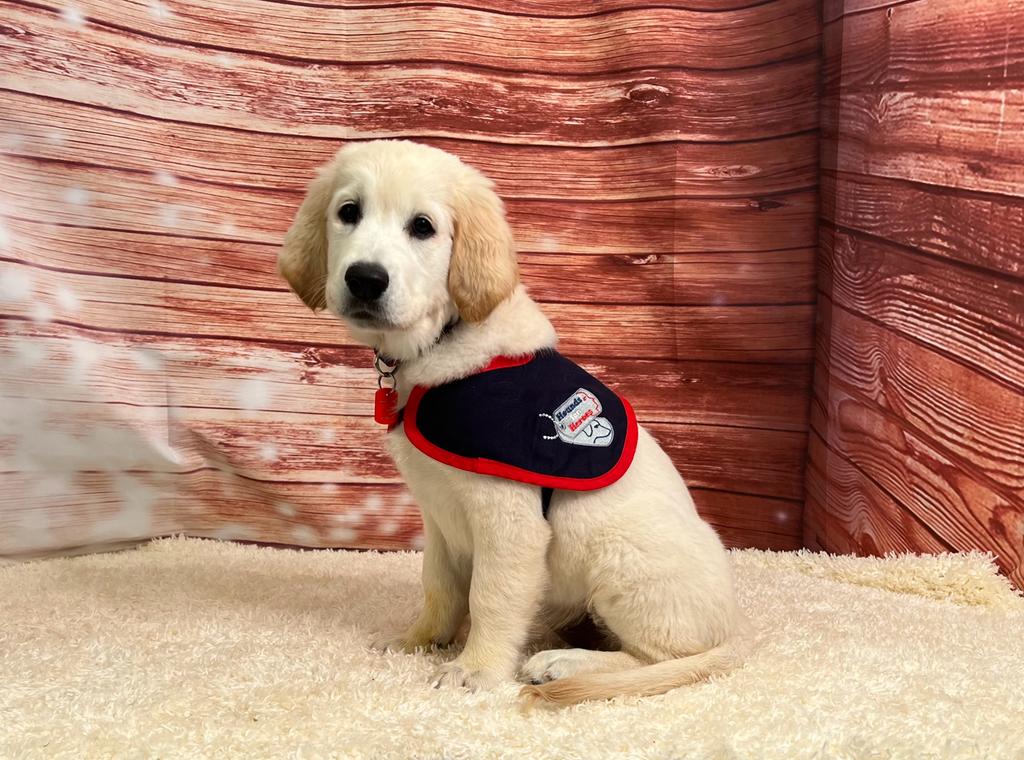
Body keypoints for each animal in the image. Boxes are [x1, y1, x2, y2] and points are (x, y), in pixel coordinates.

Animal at [276, 141, 749, 708]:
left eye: (422, 227)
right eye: (348, 212)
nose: (365, 279)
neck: (443, 341)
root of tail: (735, 631)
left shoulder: (508, 519)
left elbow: (491, 596)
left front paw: (476, 668)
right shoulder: (437, 514)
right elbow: (439, 585)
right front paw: (419, 639)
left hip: (618, 552)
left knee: (660, 658)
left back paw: (563, 662)